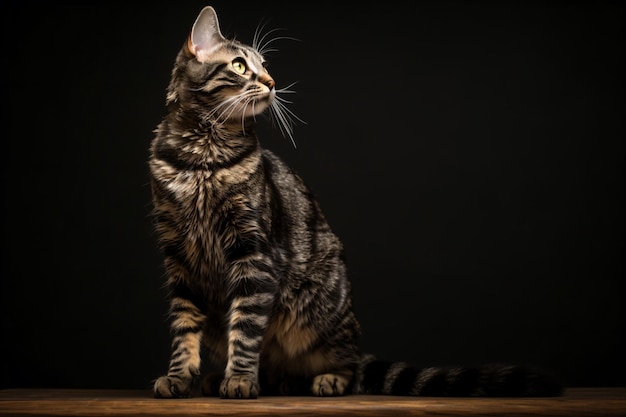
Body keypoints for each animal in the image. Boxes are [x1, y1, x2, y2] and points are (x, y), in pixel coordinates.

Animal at [149, 4, 560, 398]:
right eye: (239, 65)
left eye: (264, 66)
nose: (272, 83)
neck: (201, 158)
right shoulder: (178, 258)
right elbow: (184, 328)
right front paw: (180, 377)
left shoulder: (253, 252)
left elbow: (246, 328)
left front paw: (238, 380)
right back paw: (223, 379)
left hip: (321, 313)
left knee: (346, 366)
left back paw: (320, 380)